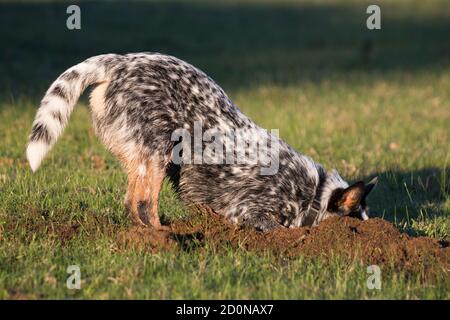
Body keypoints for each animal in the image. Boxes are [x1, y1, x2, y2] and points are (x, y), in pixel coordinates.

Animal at [26, 53, 378, 231]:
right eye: (355, 221)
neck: (312, 192)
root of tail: (120, 61)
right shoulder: (248, 209)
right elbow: (273, 228)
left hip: (143, 158)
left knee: (132, 203)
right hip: (159, 153)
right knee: (144, 204)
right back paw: (164, 236)